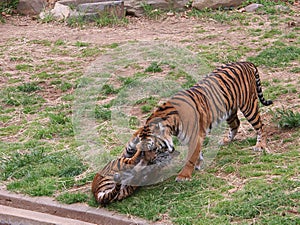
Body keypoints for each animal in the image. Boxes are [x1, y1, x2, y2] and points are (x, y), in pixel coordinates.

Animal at [123, 61, 274, 181]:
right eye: (142, 150)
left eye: (152, 148)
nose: (148, 161)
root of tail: (246, 62)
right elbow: (198, 153)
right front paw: (199, 164)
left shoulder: (195, 137)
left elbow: (190, 157)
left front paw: (183, 176)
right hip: (229, 109)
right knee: (236, 123)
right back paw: (227, 140)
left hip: (249, 106)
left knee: (260, 126)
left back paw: (260, 145)